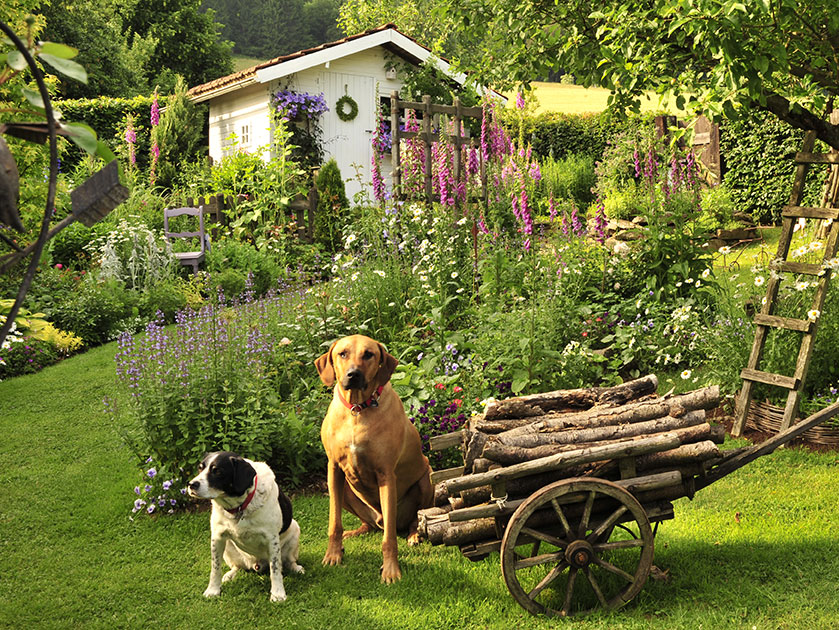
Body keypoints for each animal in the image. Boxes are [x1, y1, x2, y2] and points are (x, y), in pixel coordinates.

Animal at [186, 452, 302, 604]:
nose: (191, 484)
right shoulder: (217, 537)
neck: (239, 506)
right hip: (228, 546)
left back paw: (296, 568)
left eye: (217, 471)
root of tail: (257, 564)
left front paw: (278, 594)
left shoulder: (272, 539)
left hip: (295, 529)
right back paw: (230, 575)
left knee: (289, 561)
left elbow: (276, 569)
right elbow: (215, 568)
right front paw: (213, 590)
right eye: (200, 468)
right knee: (237, 567)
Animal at [314, 334, 434, 584]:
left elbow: (389, 539)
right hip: (345, 490)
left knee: (412, 520)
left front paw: (391, 570)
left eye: (368, 354)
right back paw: (354, 532)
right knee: (368, 525)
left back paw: (414, 535)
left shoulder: (385, 473)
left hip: (426, 477)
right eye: (342, 353)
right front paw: (332, 555)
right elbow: (334, 523)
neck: (357, 409)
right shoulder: (333, 469)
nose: (353, 374)